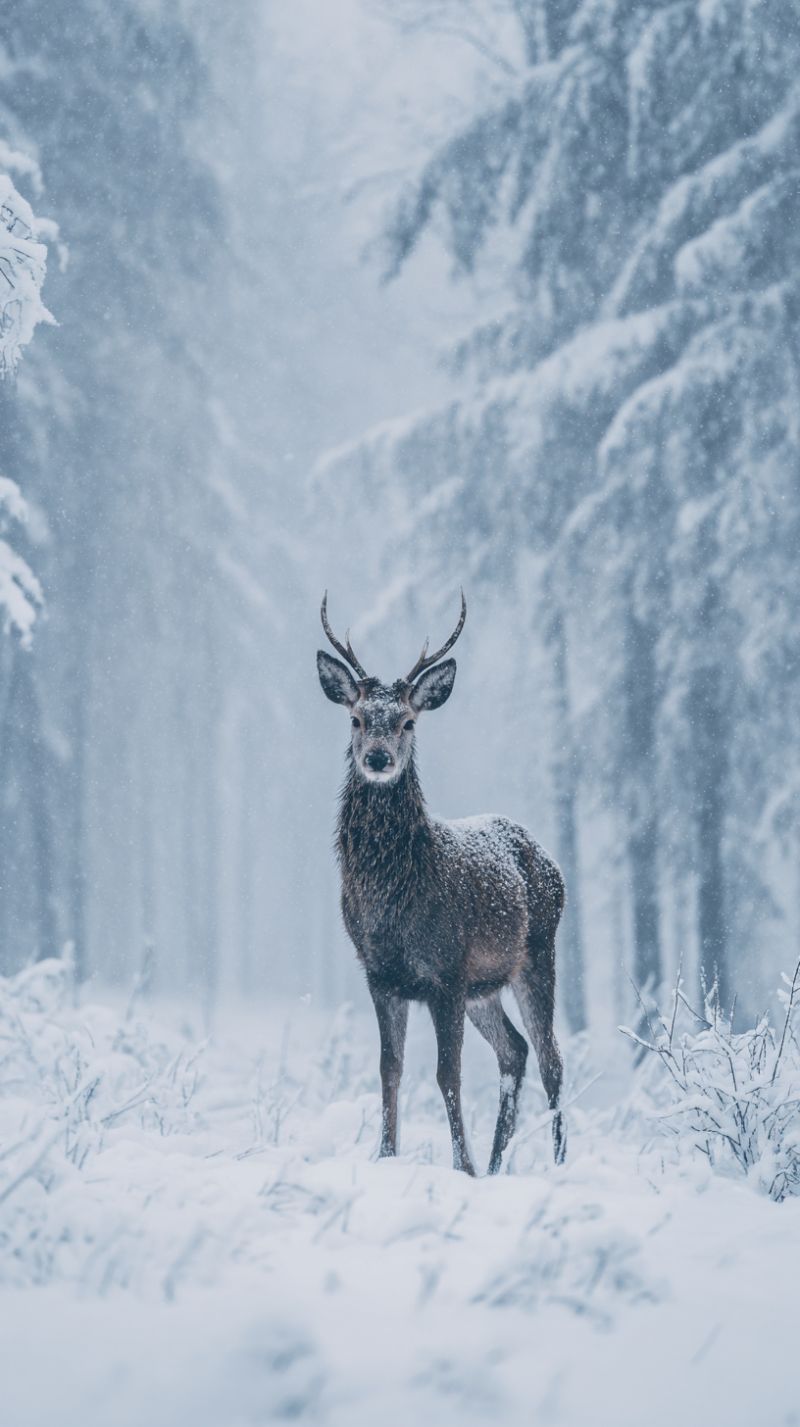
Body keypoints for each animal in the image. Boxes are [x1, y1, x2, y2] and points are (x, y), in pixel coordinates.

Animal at [316, 591, 566, 1176]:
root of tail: (550, 863)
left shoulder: (447, 971)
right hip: (486, 986)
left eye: (408, 722)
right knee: (514, 1051)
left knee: (551, 1060)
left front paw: (462, 1167)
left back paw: (558, 1164)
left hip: (537, 954)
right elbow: (390, 1068)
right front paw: (386, 1154)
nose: (378, 758)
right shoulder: (381, 975)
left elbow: (445, 1074)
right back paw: (498, 1167)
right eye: (357, 718)